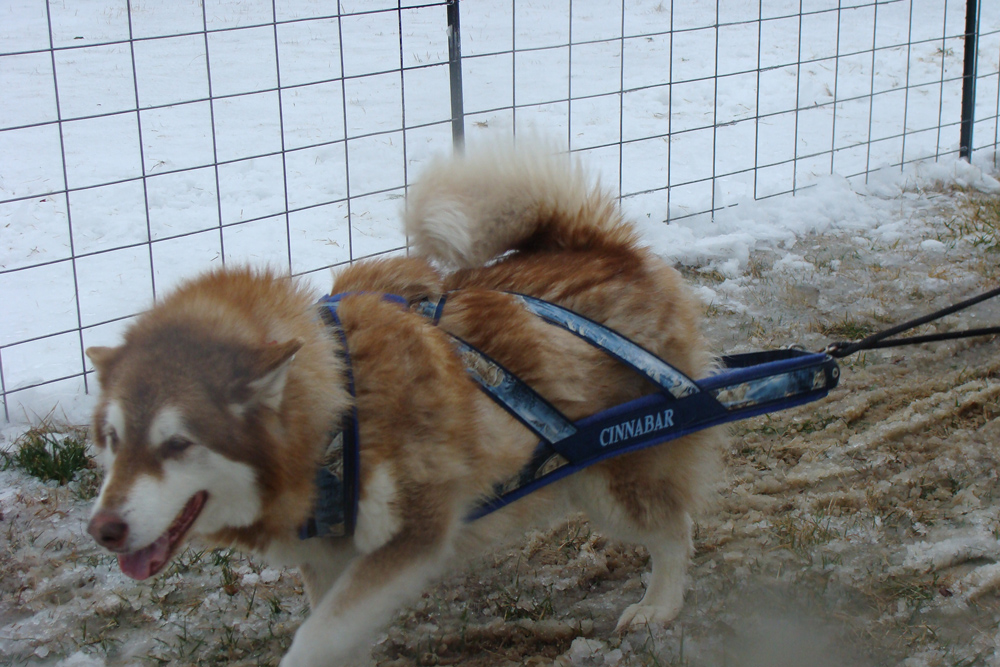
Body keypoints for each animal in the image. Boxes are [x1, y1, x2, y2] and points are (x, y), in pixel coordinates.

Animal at [84, 145, 720, 667]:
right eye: (114, 440)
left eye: (177, 443)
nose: (103, 530)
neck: (339, 408)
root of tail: (606, 249)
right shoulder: (330, 558)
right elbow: (332, 632)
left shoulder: (416, 532)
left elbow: (314, 639)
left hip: (612, 477)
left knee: (674, 529)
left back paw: (659, 605)